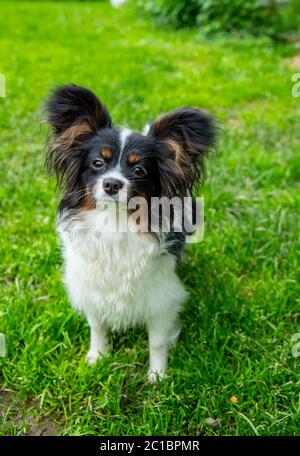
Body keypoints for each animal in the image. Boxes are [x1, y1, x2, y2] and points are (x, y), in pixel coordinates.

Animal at [44, 84, 214, 382]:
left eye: (138, 170)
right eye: (98, 163)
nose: (112, 184)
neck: (114, 224)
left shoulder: (162, 295)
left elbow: (157, 340)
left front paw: (157, 376)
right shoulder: (92, 285)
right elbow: (97, 325)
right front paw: (98, 357)